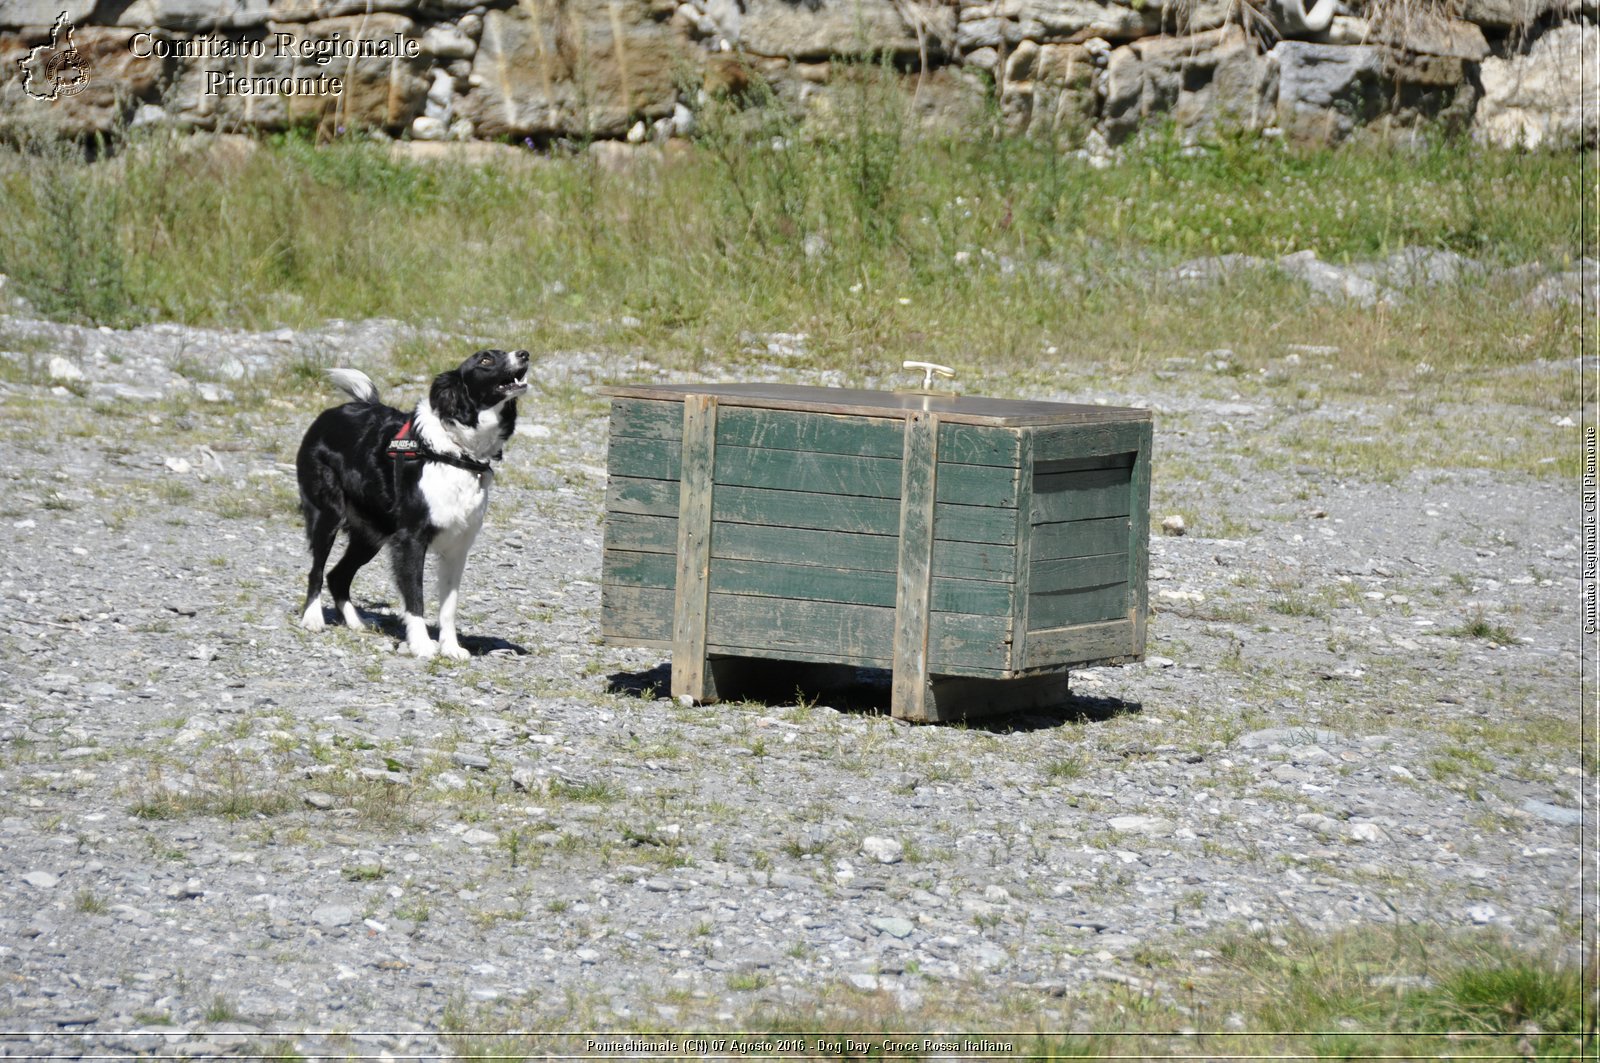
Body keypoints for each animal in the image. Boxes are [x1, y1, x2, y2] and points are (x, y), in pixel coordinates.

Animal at [294, 348, 531, 659]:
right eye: (485, 360)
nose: (524, 354)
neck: (456, 453)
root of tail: (331, 413)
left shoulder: (457, 547)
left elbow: (448, 607)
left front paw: (451, 648)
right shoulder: (410, 540)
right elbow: (415, 598)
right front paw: (421, 644)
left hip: (372, 534)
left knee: (338, 575)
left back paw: (356, 621)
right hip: (327, 516)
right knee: (317, 571)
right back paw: (312, 618)